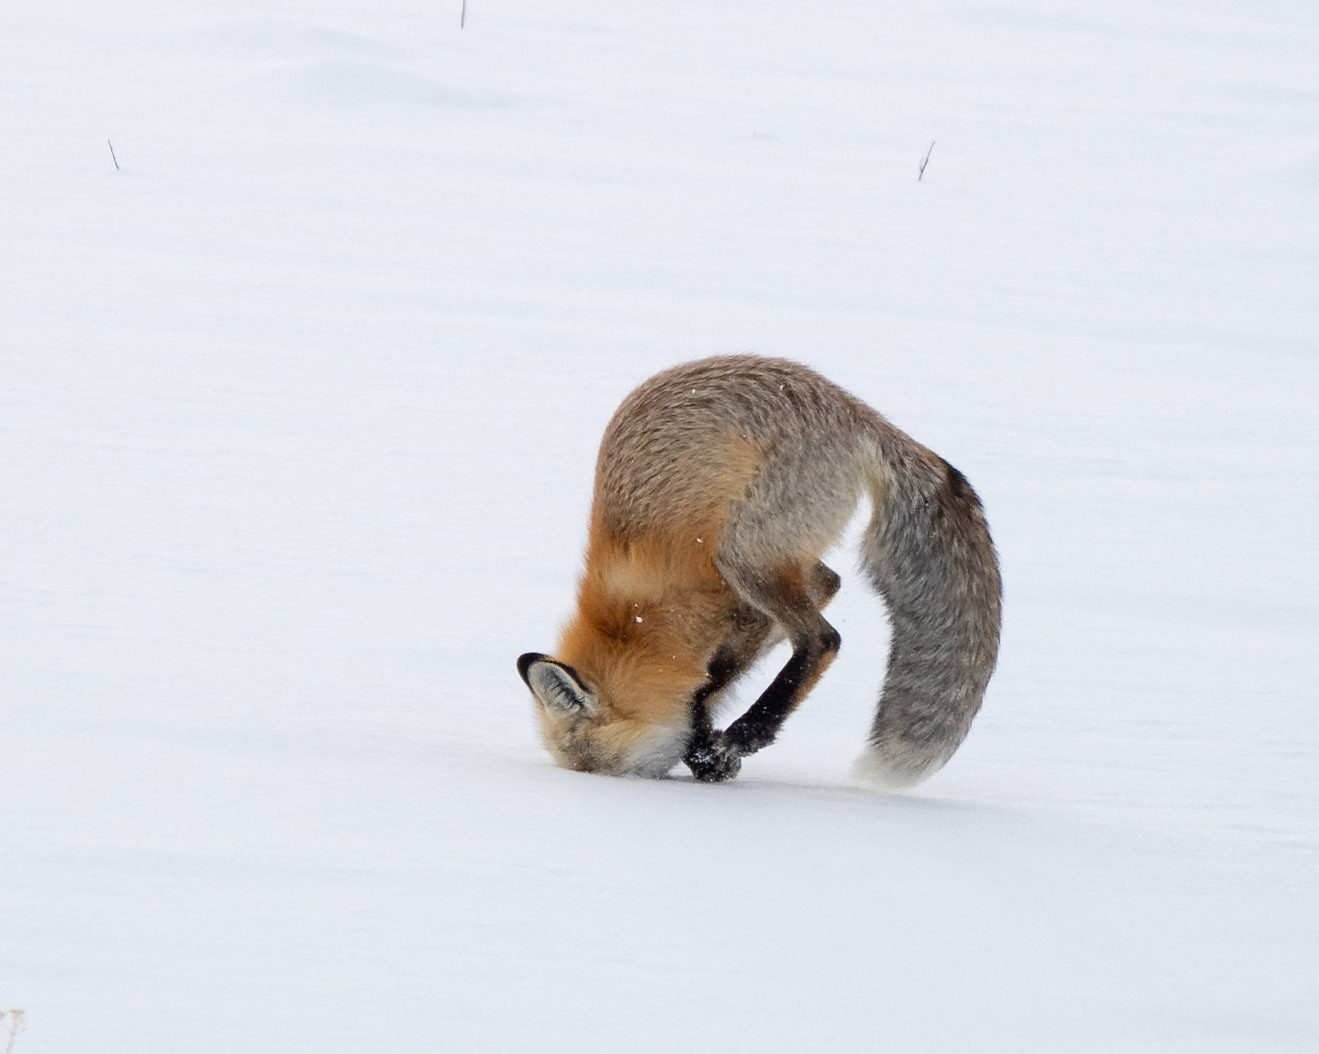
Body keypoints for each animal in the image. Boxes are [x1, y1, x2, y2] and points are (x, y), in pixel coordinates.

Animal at [517, 355, 1001, 787]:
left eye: (601, 765)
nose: (607, 789)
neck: (634, 623)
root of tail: (857, 414)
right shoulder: (737, 620)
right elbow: (714, 678)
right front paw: (707, 743)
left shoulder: (728, 606)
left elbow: (713, 678)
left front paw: (712, 748)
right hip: (777, 556)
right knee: (829, 583)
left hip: (742, 556)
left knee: (823, 639)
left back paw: (750, 730)